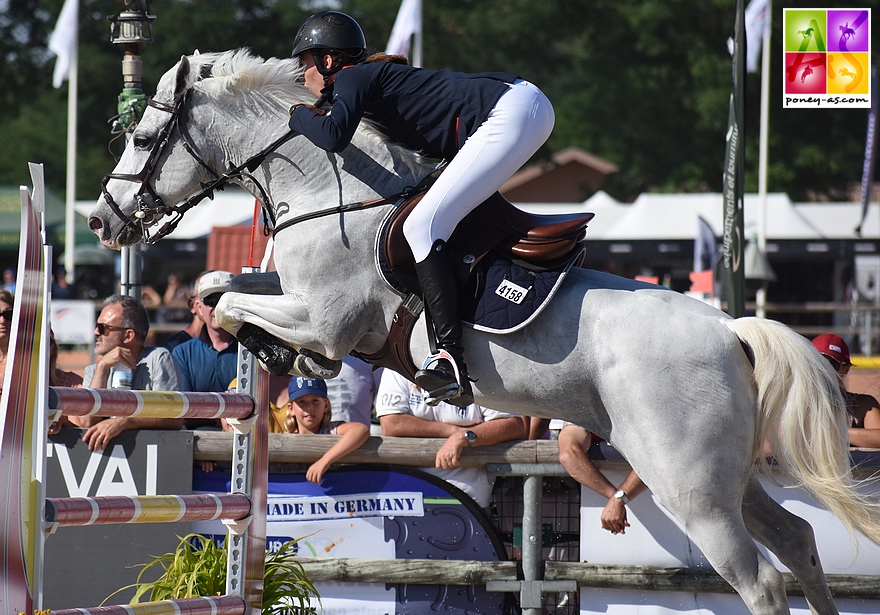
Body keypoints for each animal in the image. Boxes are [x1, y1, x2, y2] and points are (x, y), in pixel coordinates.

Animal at [87, 49, 880, 615]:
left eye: (145, 136)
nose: (101, 220)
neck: (329, 187)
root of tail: (733, 331)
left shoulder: (327, 317)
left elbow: (230, 306)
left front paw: (289, 355)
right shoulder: (296, 295)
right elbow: (218, 286)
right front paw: (275, 353)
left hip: (690, 485)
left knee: (760, 581)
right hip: (729, 476)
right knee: (801, 541)